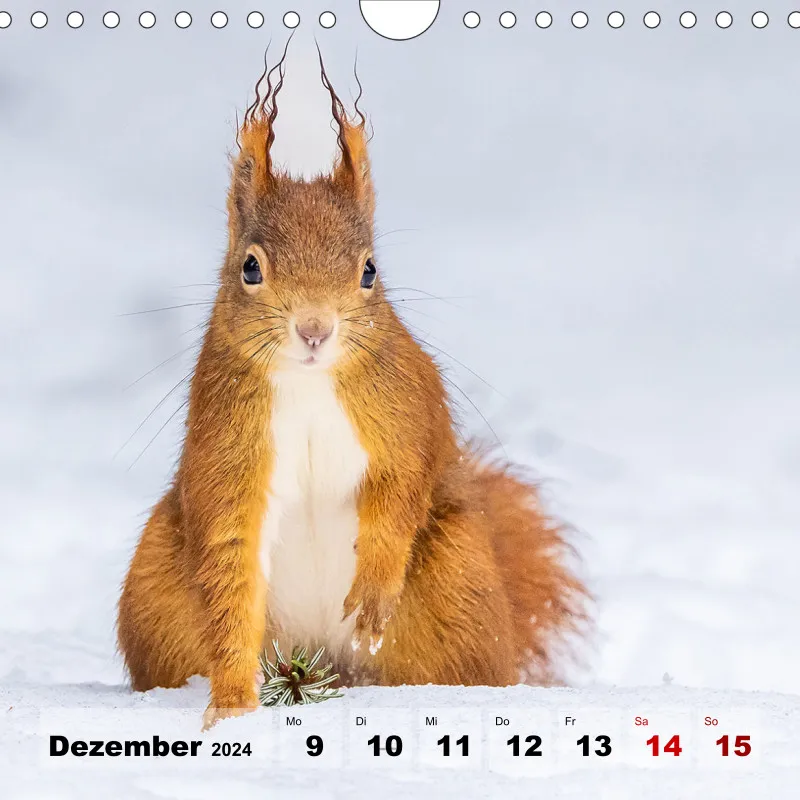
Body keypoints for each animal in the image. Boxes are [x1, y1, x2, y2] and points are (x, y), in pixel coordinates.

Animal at [117, 52, 588, 729]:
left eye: (369, 271)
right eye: (250, 267)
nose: (315, 328)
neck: (311, 384)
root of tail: (327, 662)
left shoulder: (404, 410)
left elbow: (401, 488)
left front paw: (372, 588)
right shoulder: (228, 443)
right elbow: (231, 562)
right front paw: (231, 705)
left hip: (459, 588)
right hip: (158, 593)